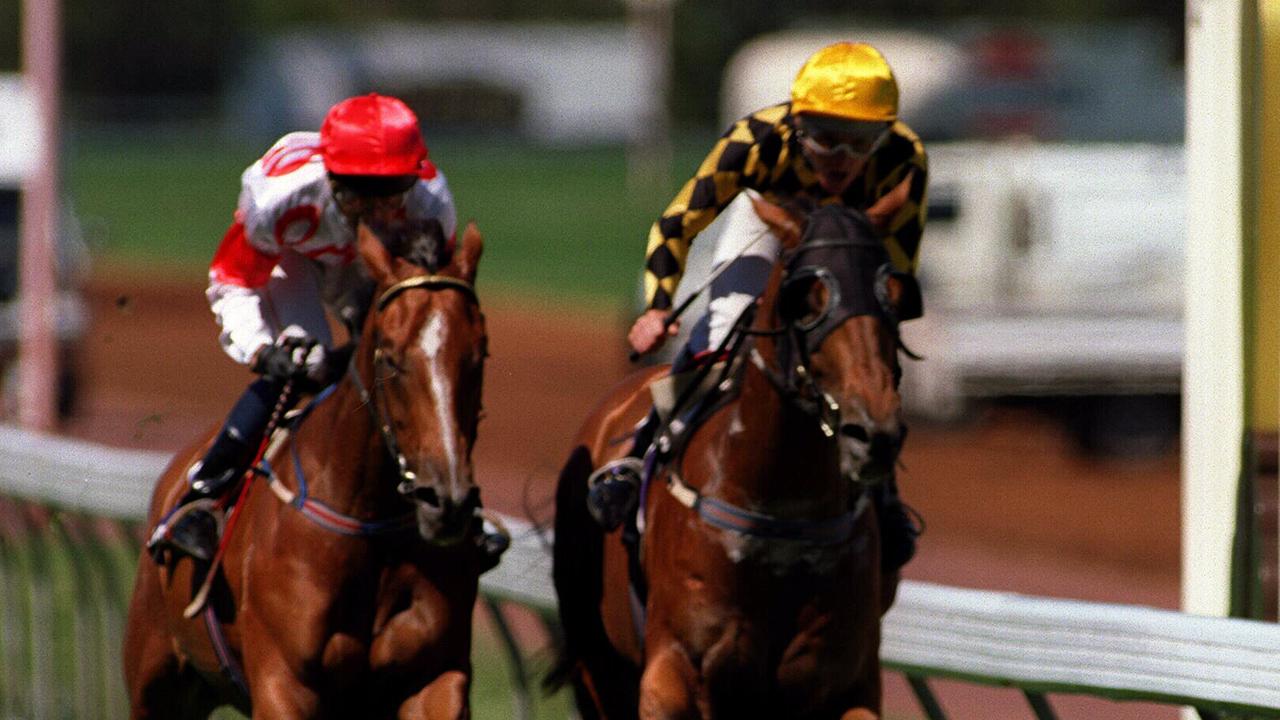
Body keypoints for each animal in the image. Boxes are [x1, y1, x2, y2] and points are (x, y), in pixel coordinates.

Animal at [124, 219, 491, 717]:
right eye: (391, 358)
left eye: (479, 354)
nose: (446, 501)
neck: (367, 521)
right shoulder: (283, 682)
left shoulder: (436, 675)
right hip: (156, 677)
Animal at [550, 197, 911, 717]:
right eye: (806, 297)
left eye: (896, 296)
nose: (874, 432)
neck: (782, 507)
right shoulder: (673, 670)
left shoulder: (846, 678)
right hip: (595, 662)